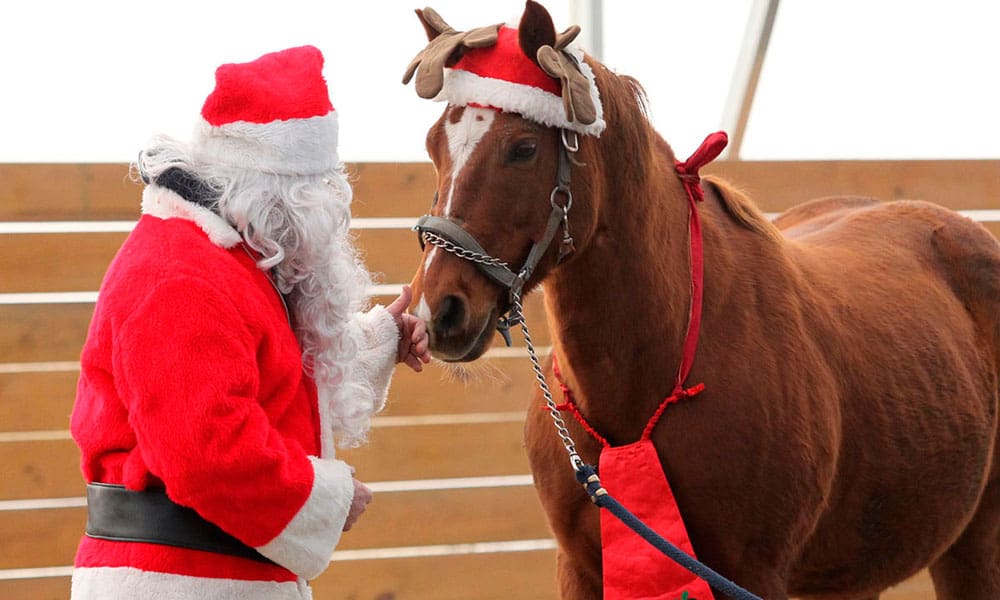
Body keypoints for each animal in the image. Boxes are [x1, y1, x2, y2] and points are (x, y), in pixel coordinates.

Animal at [402, 2, 1000, 598]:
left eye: (523, 148)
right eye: (433, 144)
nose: (439, 309)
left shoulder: (752, 573)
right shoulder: (579, 568)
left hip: (972, 546)